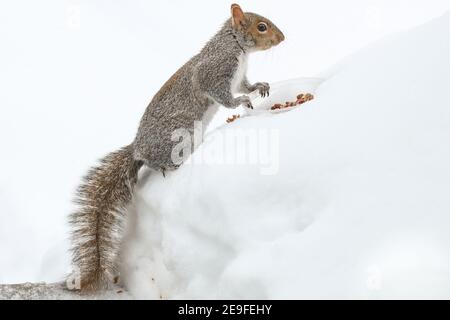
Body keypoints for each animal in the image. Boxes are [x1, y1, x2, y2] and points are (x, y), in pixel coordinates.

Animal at [68, 3, 284, 292]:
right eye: (261, 27)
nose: (282, 38)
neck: (235, 46)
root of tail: (138, 149)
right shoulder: (215, 72)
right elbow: (223, 95)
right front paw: (242, 102)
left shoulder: (237, 77)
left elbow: (245, 85)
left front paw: (260, 86)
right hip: (180, 136)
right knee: (159, 161)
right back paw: (169, 165)